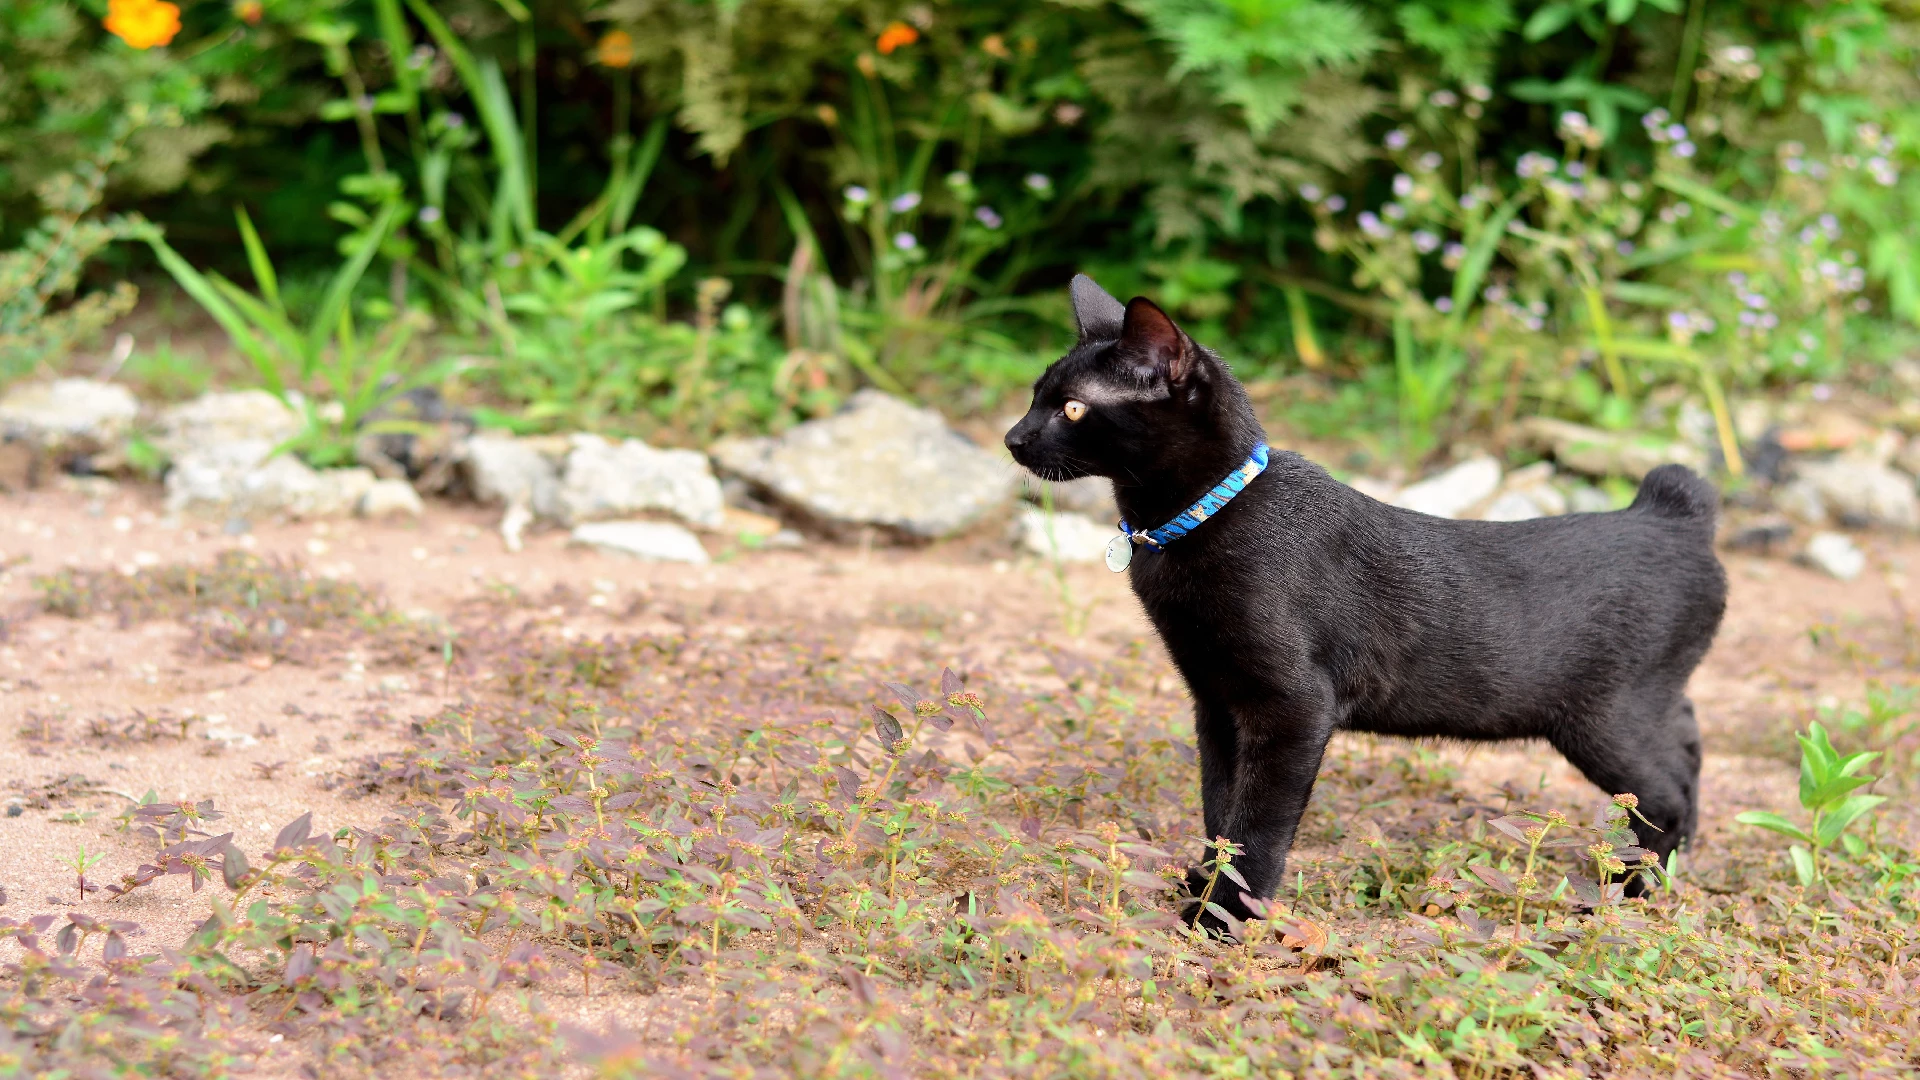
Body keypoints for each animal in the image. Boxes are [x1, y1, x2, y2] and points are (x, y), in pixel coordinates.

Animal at [1006, 272, 1728, 922]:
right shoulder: (1215, 703)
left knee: (1664, 796)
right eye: (1036, 396)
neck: (1203, 518)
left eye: (1072, 408)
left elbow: (1256, 823)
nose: (1013, 437)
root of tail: (1670, 511)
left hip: (1607, 720)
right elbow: (1219, 808)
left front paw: (1222, 919)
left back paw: (1638, 890)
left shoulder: (1292, 706)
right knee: (1689, 743)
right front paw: (1202, 885)